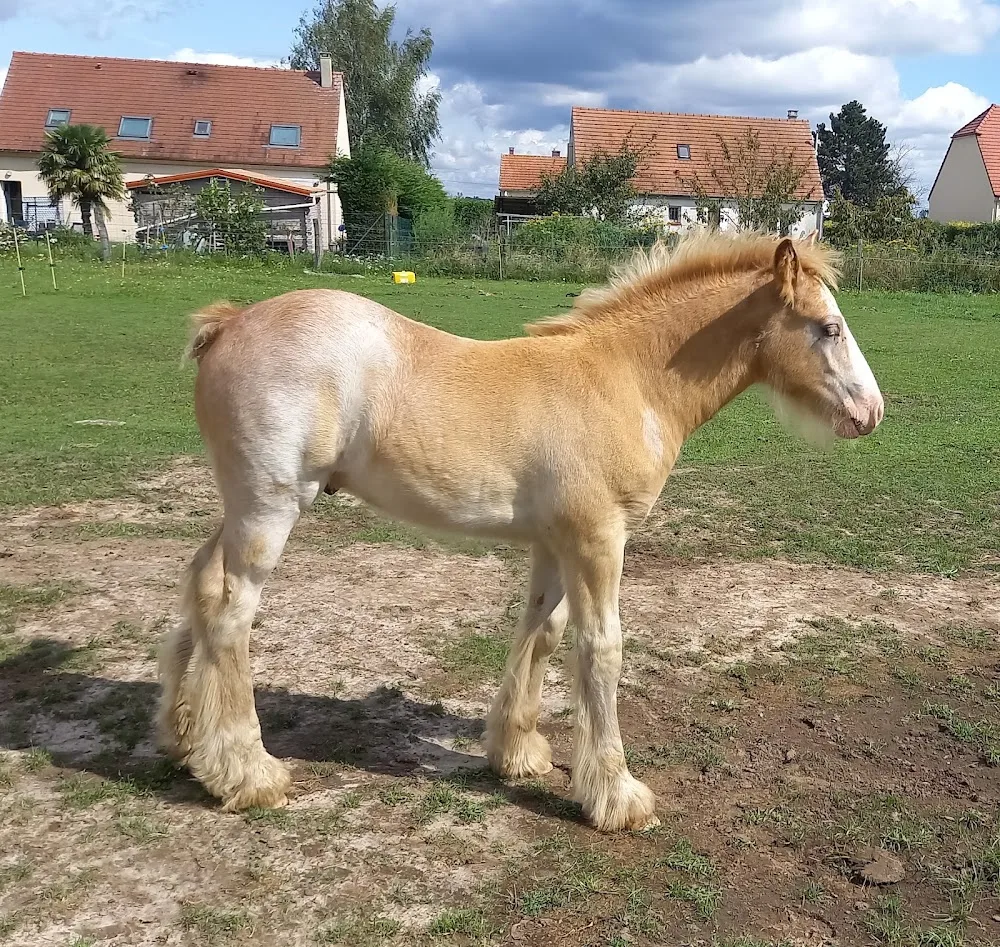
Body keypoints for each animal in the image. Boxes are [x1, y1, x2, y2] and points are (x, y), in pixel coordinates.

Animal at [156, 230, 884, 833]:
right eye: (829, 327)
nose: (871, 412)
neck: (628, 379)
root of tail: (228, 324)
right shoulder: (598, 539)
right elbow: (600, 648)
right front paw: (617, 796)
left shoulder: (554, 542)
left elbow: (542, 631)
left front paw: (517, 751)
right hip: (270, 509)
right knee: (229, 613)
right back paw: (248, 774)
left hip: (241, 508)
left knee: (198, 582)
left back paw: (182, 737)